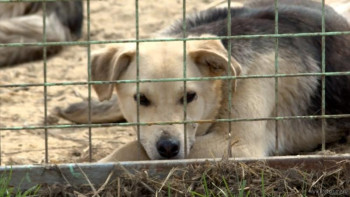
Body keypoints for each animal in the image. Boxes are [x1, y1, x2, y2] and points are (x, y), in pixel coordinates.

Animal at [56, 0, 350, 162]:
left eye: (190, 97)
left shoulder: (235, 144)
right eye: (141, 99)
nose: (168, 148)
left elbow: (131, 150)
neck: (223, 83)